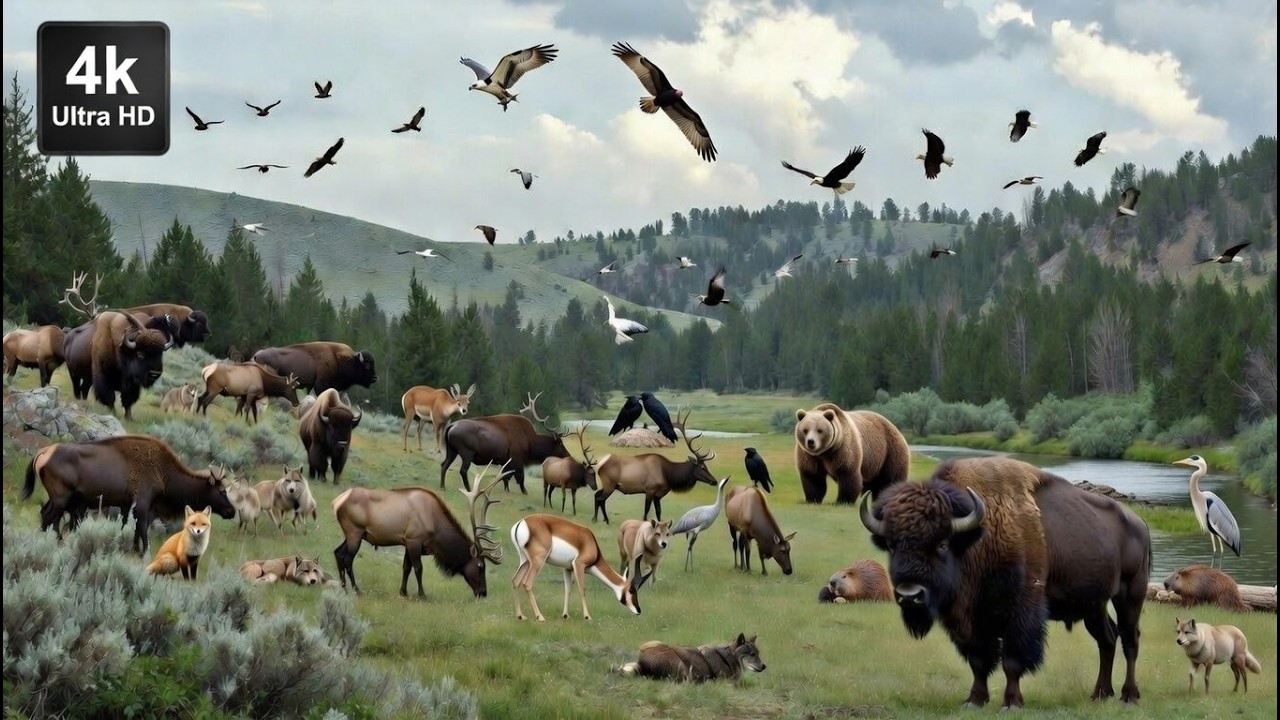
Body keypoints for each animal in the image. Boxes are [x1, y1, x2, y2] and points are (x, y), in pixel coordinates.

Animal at [21, 434, 236, 554]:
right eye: (222, 490)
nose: (232, 511)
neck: (164, 473)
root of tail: (43, 452)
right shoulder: (142, 504)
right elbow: (142, 530)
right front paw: (143, 552)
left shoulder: (129, 506)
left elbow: (130, 527)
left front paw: (132, 548)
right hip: (61, 498)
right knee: (50, 517)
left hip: (56, 498)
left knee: (45, 514)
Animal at [612, 633, 765, 683]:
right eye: (752, 654)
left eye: (758, 653)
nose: (764, 666)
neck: (729, 658)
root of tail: (643, 663)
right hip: (682, 666)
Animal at [859, 457, 1151, 709]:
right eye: (892, 546)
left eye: (942, 544)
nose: (910, 595)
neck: (977, 539)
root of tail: (1139, 524)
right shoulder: (973, 620)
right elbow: (978, 661)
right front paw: (974, 700)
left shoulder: (1019, 612)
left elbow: (1011, 661)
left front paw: (1011, 703)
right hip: (1094, 605)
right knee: (1107, 639)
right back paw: (1100, 694)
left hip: (1130, 594)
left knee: (1130, 640)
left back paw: (1129, 696)